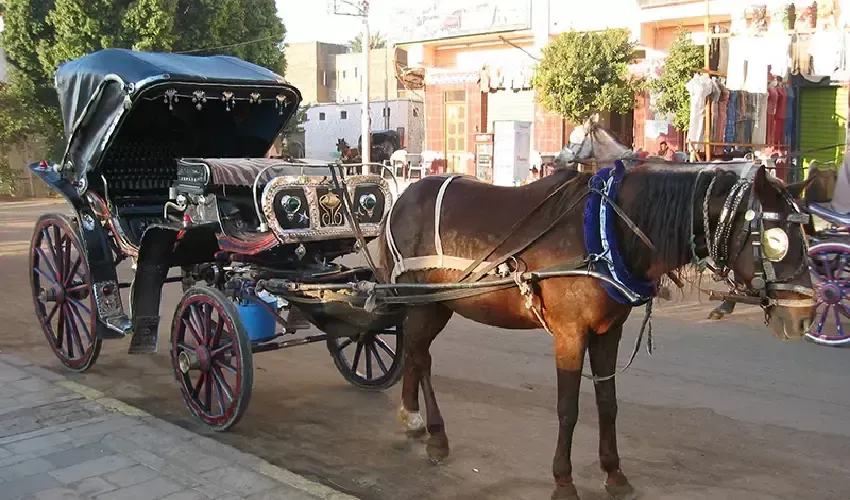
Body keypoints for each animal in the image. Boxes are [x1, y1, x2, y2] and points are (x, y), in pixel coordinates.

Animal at [376, 126, 816, 500]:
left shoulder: (609, 331)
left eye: (806, 233)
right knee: (421, 356)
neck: (607, 232)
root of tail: (403, 198)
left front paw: (614, 473)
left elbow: (608, 402)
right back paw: (435, 434)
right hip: (422, 302)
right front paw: (563, 480)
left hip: (437, 305)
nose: (805, 316)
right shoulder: (570, 333)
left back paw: (412, 417)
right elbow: (568, 408)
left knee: (415, 353)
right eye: (774, 239)